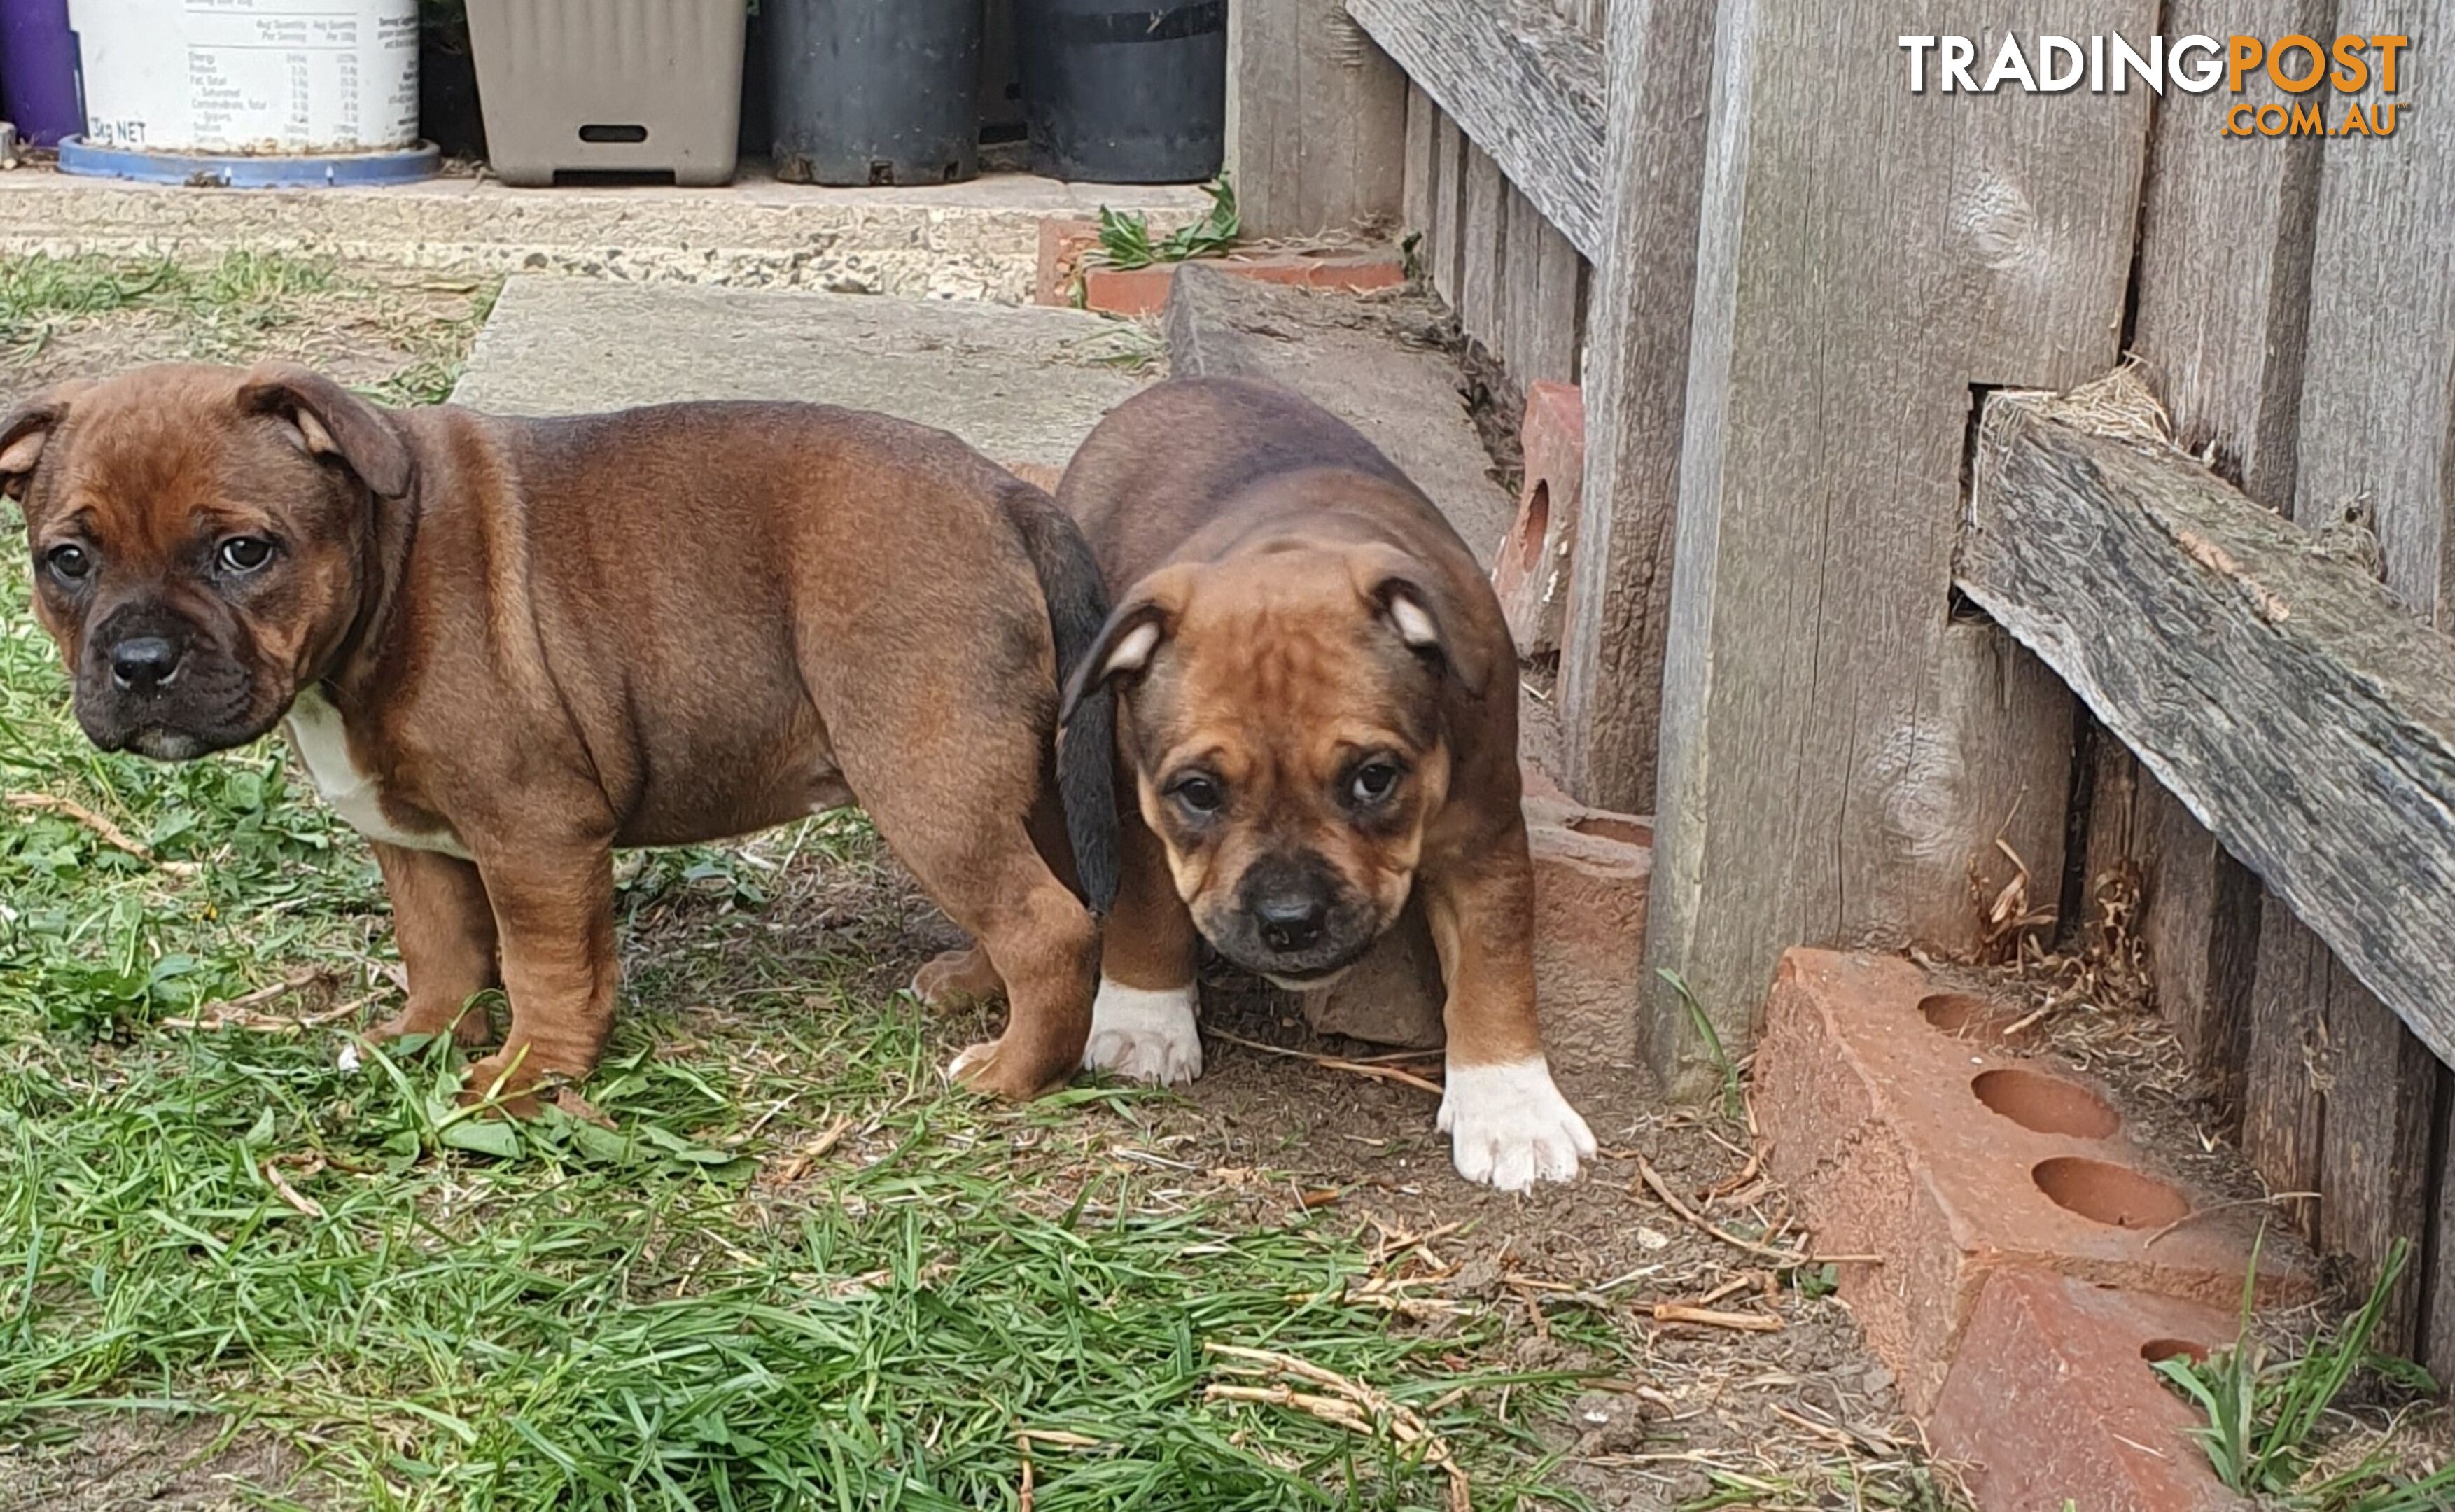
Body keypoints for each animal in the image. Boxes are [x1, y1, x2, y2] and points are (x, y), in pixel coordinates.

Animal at [0, 360, 1114, 1104]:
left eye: (243, 553)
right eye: (67, 562)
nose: (140, 663)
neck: (385, 568)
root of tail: (1004, 494)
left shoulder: (536, 837)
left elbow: (545, 967)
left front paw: (525, 1075)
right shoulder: (415, 843)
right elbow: (442, 950)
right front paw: (424, 1037)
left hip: (922, 774)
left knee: (1043, 920)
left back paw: (1012, 1074)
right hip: (1007, 774)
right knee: (1052, 893)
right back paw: (977, 987)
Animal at [932, 378, 1590, 1193]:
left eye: (1374, 779)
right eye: (1200, 793)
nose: (1290, 920)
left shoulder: (1484, 834)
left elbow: (1495, 966)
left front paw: (1511, 1108)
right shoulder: (1137, 801)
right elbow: (1148, 910)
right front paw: (1144, 1019)